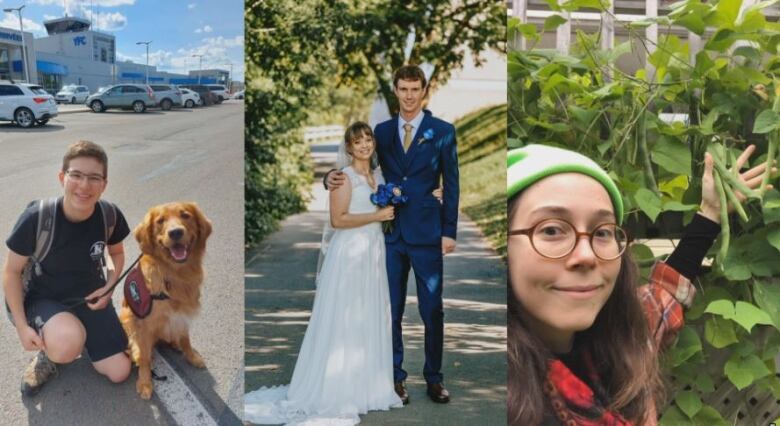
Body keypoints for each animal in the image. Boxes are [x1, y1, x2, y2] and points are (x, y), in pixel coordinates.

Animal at [119, 201, 210, 398]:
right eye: (160, 221)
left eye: (185, 215)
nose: (175, 232)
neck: (175, 274)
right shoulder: (143, 323)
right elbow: (144, 357)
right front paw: (145, 382)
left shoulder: (183, 314)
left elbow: (186, 339)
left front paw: (191, 356)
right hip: (126, 316)